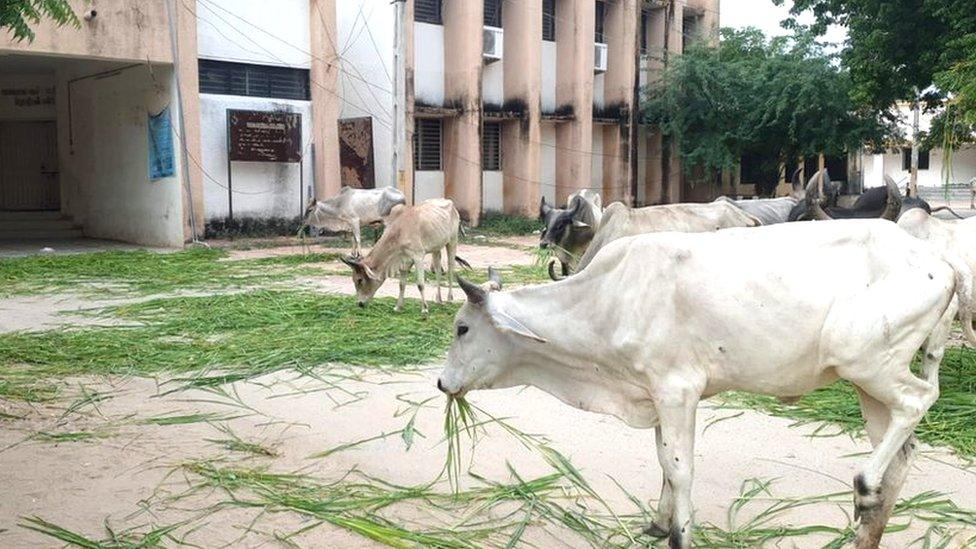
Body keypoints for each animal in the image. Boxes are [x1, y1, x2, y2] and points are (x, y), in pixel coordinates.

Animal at [438, 219, 976, 548]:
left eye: (462, 328)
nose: (443, 383)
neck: (608, 299)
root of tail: (942, 264)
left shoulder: (677, 391)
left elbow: (680, 469)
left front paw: (680, 533)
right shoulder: (655, 395)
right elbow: (663, 462)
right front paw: (658, 523)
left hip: (867, 363)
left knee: (920, 399)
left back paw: (864, 486)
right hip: (869, 385)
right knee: (903, 454)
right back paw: (868, 527)